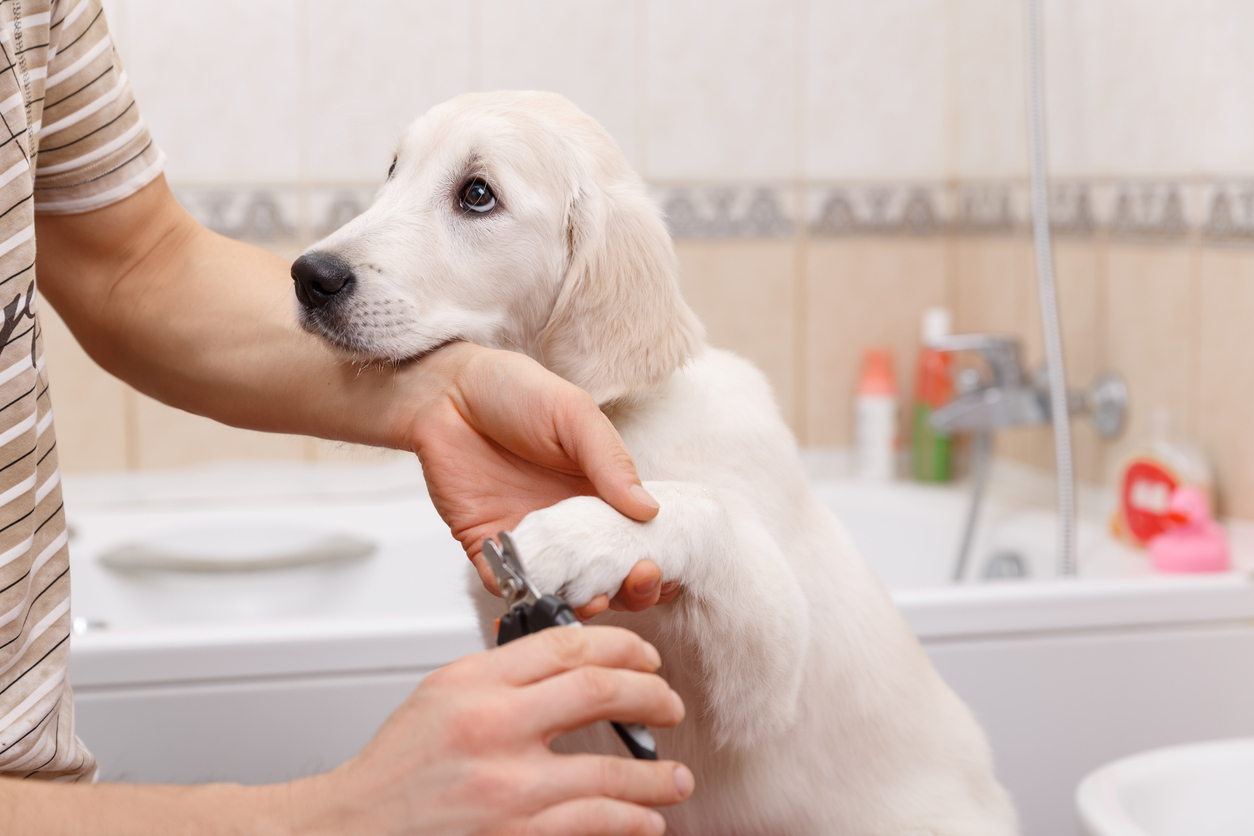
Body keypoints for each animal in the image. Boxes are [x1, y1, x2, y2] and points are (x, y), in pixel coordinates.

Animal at [293, 91, 1018, 836]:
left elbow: (704, 507)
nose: (309, 276)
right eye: (393, 170)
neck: (621, 416)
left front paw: (583, 534)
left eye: (477, 194)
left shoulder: (770, 681)